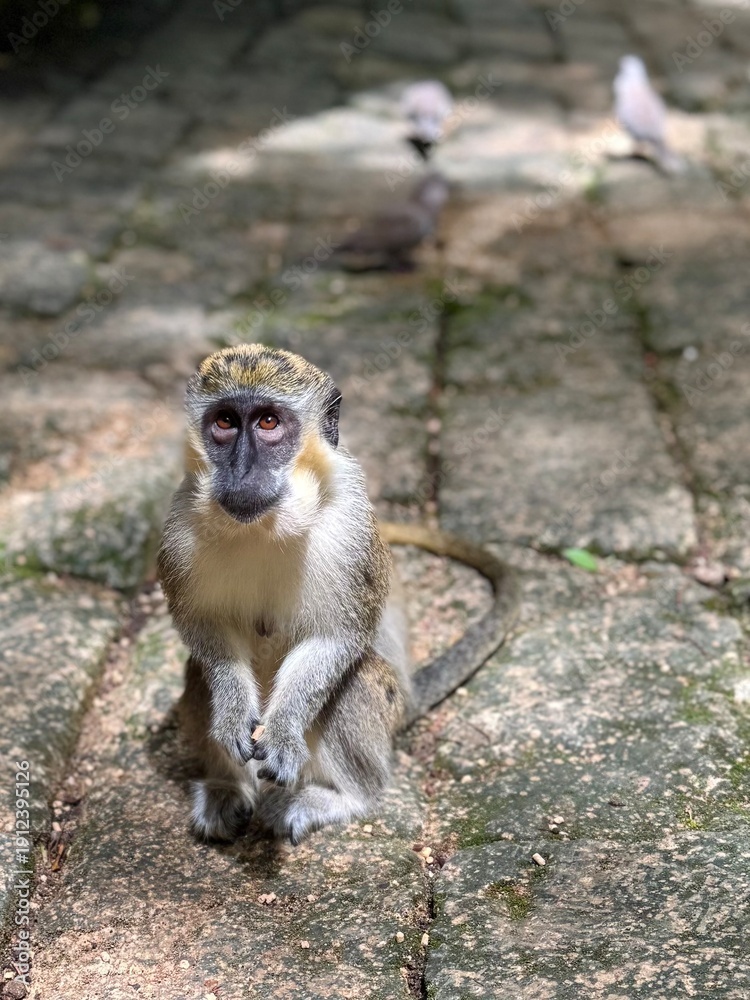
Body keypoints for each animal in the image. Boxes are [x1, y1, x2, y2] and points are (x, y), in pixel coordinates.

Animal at [158, 344, 519, 845]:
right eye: (225, 422)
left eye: (268, 422)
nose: (242, 471)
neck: (266, 527)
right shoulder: (180, 526)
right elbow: (202, 627)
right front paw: (231, 715)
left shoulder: (350, 526)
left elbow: (336, 638)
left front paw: (284, 735)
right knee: (197, 673)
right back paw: (228, 787)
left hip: (386, 713)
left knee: (359, 679)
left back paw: (347, 797)